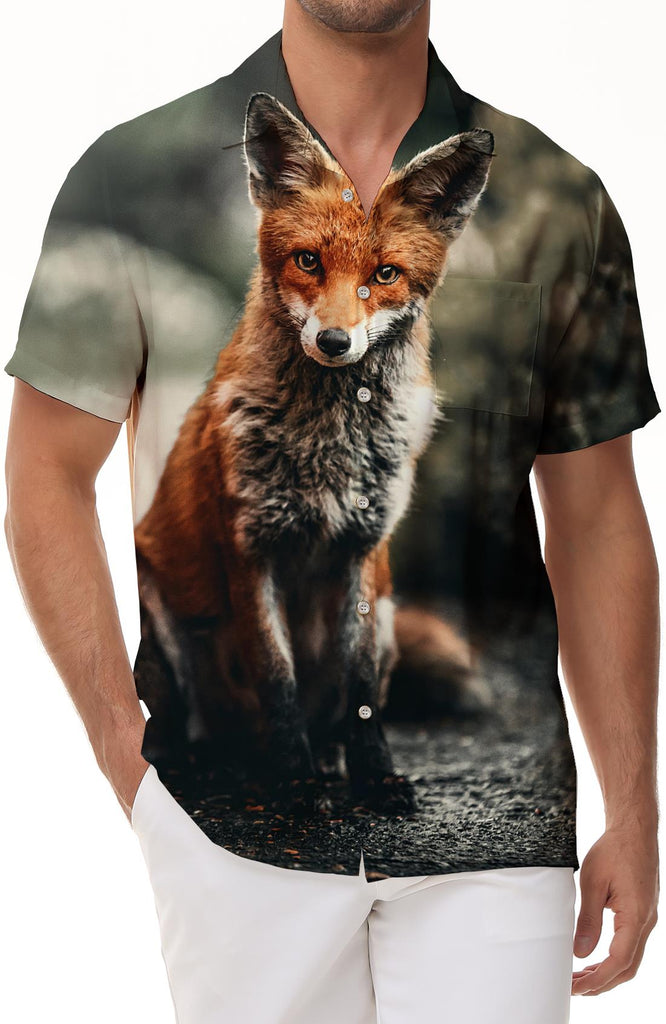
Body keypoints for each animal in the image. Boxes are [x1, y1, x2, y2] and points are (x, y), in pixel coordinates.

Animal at [133, 91, 494, 816]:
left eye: (384, 274)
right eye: (308, 262)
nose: (333, 341)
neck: (329, 447)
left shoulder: (363, 551)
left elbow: (359, 693)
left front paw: (373, 776)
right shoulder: (251, 549)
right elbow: (278, 677)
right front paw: (295, 783)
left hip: (389, 616)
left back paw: (323, 762)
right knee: (178, 725)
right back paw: (202, 764)